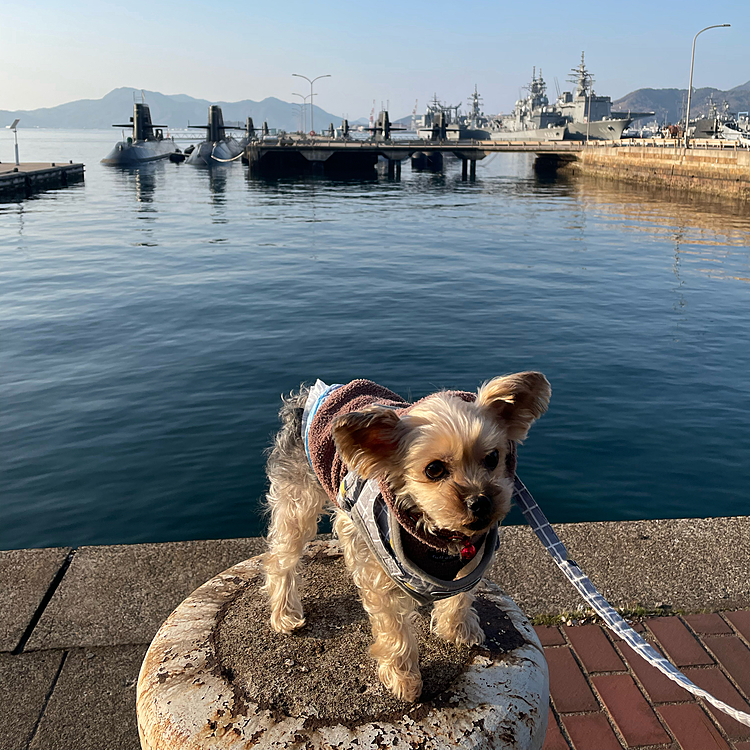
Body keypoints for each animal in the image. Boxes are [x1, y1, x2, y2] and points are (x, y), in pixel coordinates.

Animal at [264, 376, 552, 704]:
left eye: (493, 458)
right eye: (434, 469)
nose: (480, 502)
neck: (440, 536)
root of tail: (307, 397)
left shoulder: (470, 559)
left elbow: (460, 594)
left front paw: (458, 629)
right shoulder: (382, 573)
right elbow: (393, 628)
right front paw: (404, 679)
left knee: (343, 525)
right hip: (298, 495)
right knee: (281, 555)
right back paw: (285, 614)